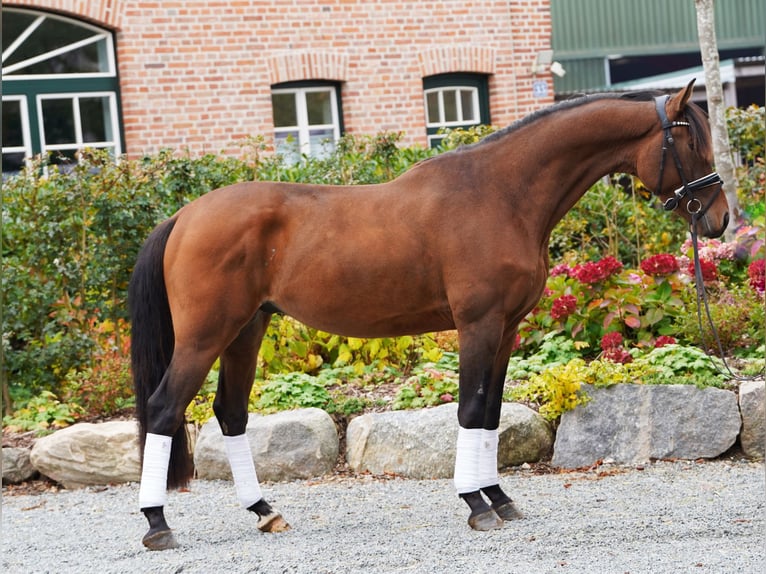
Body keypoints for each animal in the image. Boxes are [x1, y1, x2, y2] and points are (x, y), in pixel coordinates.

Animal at [132, 79, 732, 552]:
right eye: (691, 142)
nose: (721, 219)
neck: (501, 194)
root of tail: (184, 216)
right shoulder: (478, 325)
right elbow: (468, 410)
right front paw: (476, 504)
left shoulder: (507, 329)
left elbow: (491, 413)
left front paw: (500, 497)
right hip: (206, 334)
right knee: (164, 409)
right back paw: (157, 524)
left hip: (246, 329)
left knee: (230, 413)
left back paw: (264, 511)